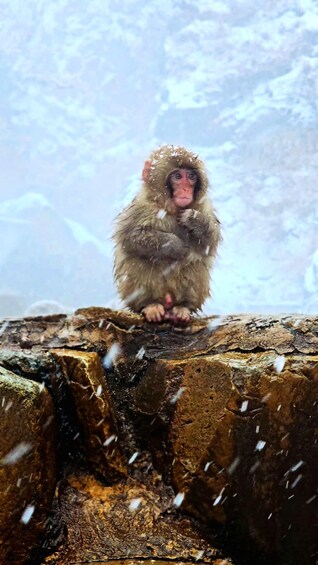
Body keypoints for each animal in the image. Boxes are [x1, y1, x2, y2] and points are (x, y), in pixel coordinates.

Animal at [113, 143, 221, 324]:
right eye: (177, 176)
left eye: (191, 176)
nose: (185, 189)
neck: (171, 209)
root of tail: (168, 303)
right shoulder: (141, 206)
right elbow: (131, 237)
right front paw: (174, 245)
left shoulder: (205, 206)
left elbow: (210, 244)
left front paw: (195, 220)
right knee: (140, 259)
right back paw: (150, 305)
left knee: (195, 263)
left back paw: (183, 308)